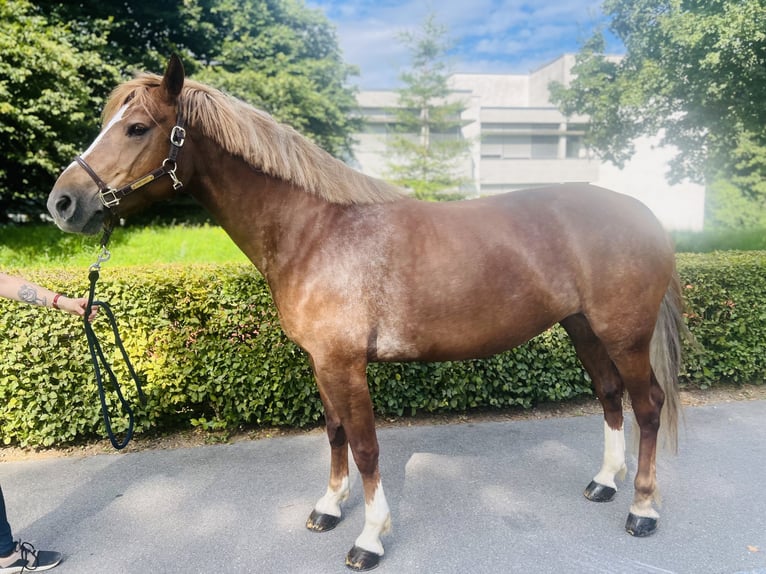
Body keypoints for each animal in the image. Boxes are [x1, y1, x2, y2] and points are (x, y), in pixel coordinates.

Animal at [48, 55, 684, 572]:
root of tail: (644, 214)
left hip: (624, 336)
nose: (62, 203)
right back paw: (603, 483)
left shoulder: (345, 363)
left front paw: (370, 539)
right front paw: (329, 508)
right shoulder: (322, 362)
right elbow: (334, 433)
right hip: (584, 329)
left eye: (136, 127)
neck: (315, 232)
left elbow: (365, 444)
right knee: (609, 396)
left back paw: (643, 509)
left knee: (647, 405)